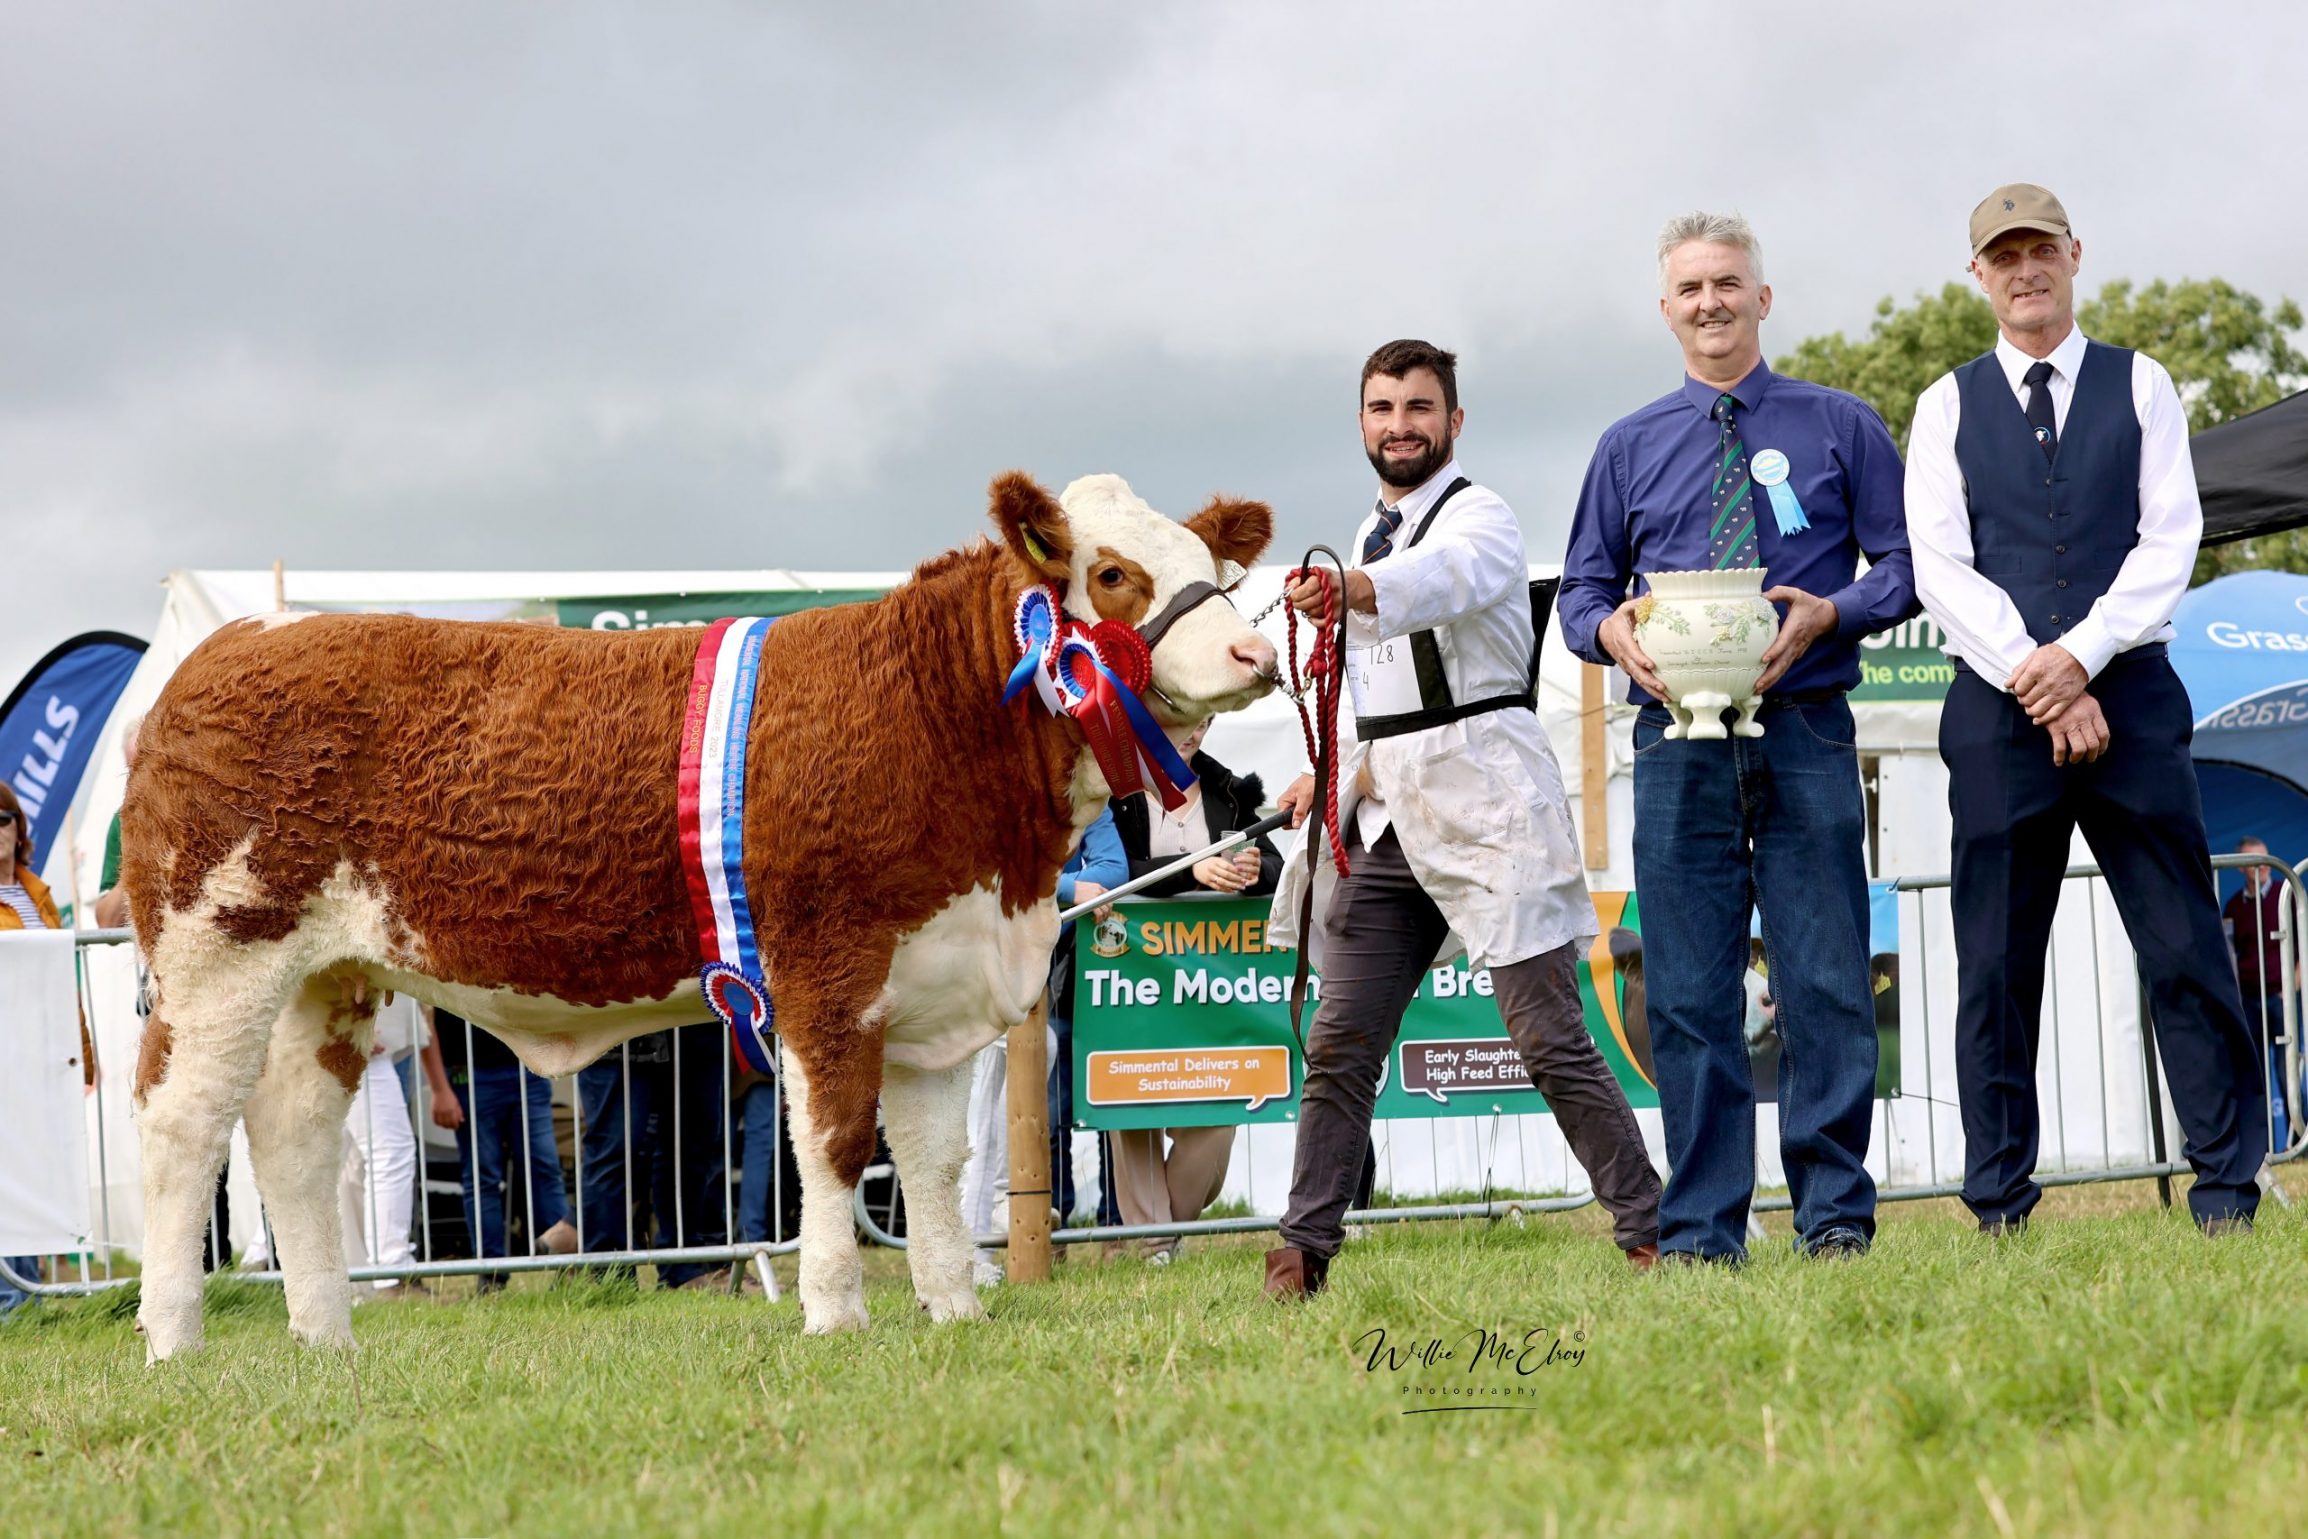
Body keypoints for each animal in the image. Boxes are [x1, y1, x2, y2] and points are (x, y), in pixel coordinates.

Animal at [121, 475, 1283, 1356]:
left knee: (293, 1139)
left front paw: (952, 1304)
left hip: (328, 977)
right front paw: (835, 1313)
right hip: (217, 955)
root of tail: (228, 647)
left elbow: (933, 1161)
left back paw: (324, 1339)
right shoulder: (826, 968)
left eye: (1217, 571)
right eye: (1113, 574)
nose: (1253, 656)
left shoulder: (939, 976)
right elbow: (834, 1141)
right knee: (181, 1130)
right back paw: (174, 1339)